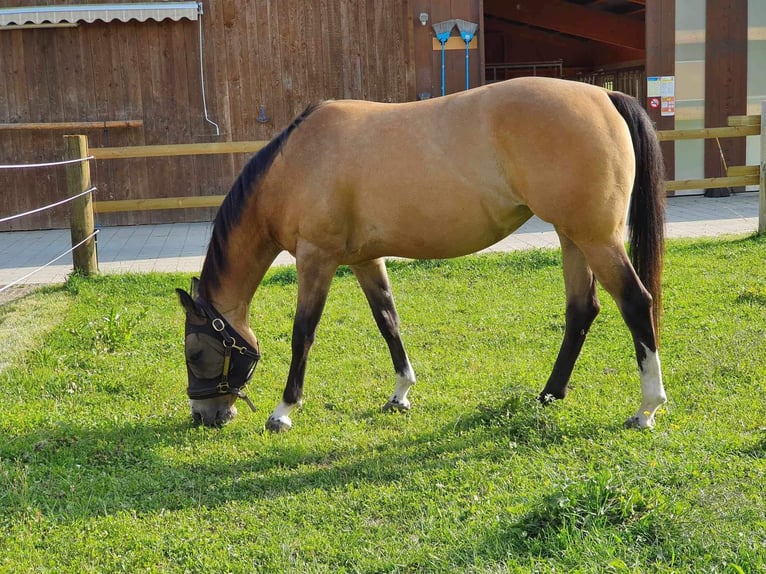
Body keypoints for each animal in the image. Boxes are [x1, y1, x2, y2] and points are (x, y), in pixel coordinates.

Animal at [177, 79, 668, 434]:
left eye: (195, 352)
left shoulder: (316, 258)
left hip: (597, 239)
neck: (295, 163)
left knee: (635, 303)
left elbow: (303, 333)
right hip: (573, 238)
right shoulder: (364, 261)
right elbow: (388, 322)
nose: (205, 416)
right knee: (581, 310)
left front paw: (283, 411)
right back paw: (549, 395)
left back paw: (646, 409)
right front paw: (400, 394)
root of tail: (604, 94)